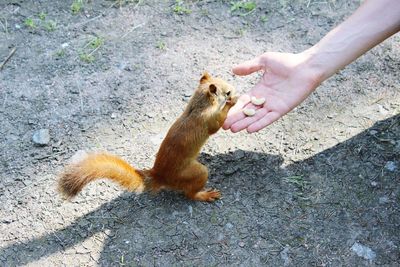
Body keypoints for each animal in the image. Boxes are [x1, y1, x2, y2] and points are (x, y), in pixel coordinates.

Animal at [57, 72, 236, 202]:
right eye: (226, 91)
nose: (233, 91)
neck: (198, 106)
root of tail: (161, 177)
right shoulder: (208, 119)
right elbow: (216, 125)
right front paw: (232, 102)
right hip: (195, 173)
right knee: (189, 194)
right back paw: (205, 195)